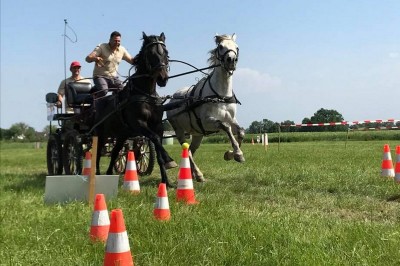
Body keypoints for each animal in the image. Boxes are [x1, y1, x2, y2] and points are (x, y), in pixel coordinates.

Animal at [94, 31, 177, 187]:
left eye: (166, 52)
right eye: (150, 53)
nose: (163, 78)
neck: (146, 94)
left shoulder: (157, 125)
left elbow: (158, 144)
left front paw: (166, 181)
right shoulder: (139, 123)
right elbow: (155, 139)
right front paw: (170, 160)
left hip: (121, 134)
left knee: (115, 152)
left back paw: (109, 174)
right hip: (101, 134)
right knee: (97, 153)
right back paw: (97, 175)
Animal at [166, 33, 244, 182]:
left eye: (237, 47)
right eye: (221, 46)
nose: (231, 60)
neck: (220, 95)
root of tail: (172, 98)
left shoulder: (232, 119)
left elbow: (241, 132)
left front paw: (231, 154)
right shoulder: (208, 121)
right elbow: (226, 127)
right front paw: (237, 153)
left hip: (197, 134)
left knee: (191, 149)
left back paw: (193, 174)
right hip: (179, 131)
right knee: (187, 150)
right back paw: (198, 174)